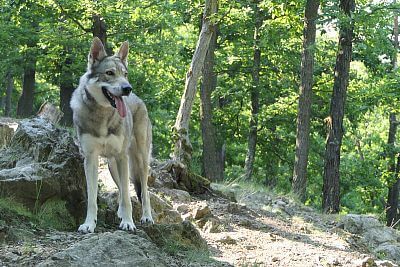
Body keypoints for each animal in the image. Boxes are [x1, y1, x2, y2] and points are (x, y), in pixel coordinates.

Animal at [70, 37, 153, 234]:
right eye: (109, 73)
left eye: (125, 74)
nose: (127, 88)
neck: (103, 115)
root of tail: (139, 99)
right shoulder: (90, 159)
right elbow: (92, 198)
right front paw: (89, 224)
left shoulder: (122, 157)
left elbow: (129, 198)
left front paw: (129, 223)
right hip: (112, 165)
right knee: (123, 190)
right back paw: (121, 213)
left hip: (139, 160)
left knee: (144, 191)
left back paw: (146, 217)